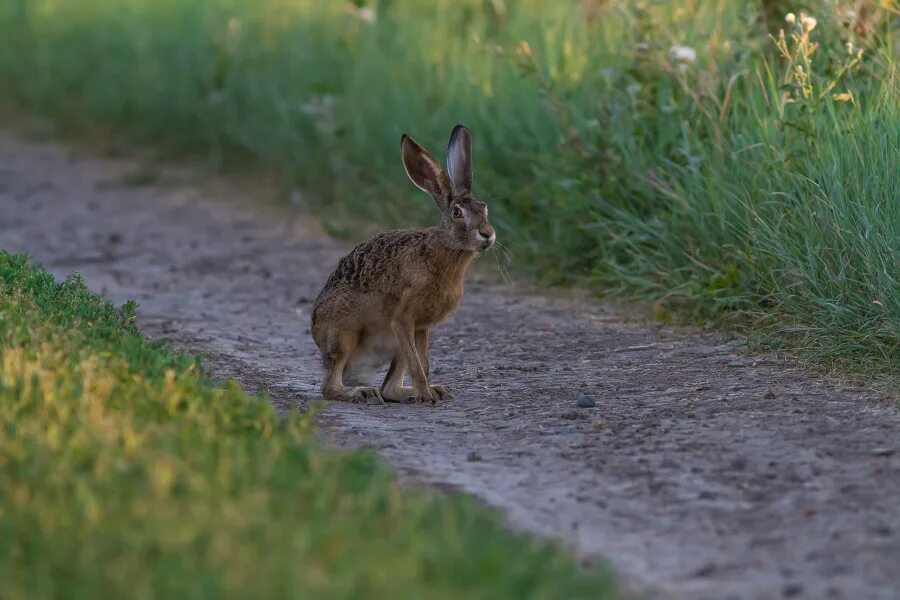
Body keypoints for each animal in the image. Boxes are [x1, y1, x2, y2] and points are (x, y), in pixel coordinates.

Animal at [311, 124, 496, 404]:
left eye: (484, 208)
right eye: (457, 213)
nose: (488, 234)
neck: (442, 248)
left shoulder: (421, 327)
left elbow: (423, 363)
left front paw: (429, 392)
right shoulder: (403, 320)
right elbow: (417, 366)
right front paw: (426, 396)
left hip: (392, 347)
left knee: (389, 388)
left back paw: (430, 390)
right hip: (343, 336)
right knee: (330, 386)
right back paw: (362, 392)